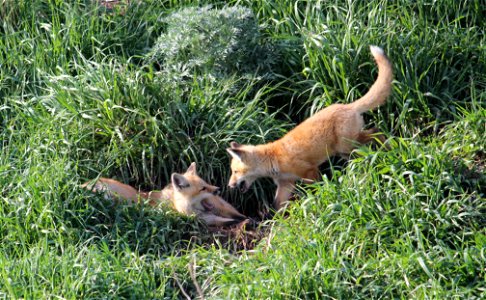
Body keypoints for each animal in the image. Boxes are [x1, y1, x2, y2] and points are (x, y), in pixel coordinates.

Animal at [226, 45, 392, 209]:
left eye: (235, 171)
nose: (229, 186)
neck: (273, 160)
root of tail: (348, 106)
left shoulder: (309, 172)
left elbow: (317, 191)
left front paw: (320, 203)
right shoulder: (286, 184)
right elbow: (277, 207)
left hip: (349, 145)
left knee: (377, 132)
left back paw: (387, 150)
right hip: (346, 151)